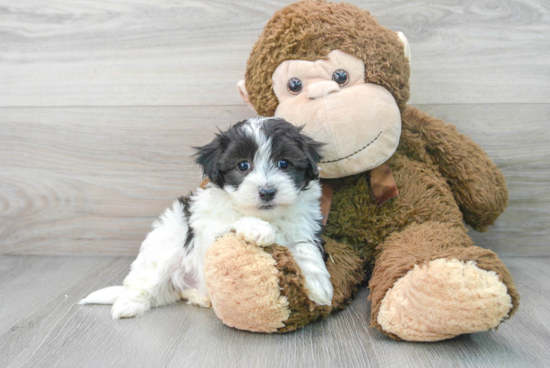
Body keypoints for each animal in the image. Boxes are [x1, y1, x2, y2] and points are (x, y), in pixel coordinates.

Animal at [80, 116, 334, 318]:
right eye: (243, 165)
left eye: (284, 163)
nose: (267, 192)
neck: (267, 215)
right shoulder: (207, 231)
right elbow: (229, 222)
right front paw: (258, 228)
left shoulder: (306, 225)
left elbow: (304, 247)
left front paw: (319, 286)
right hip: (165, 250)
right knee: (146, 280)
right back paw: (128, 304)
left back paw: (200, 297)